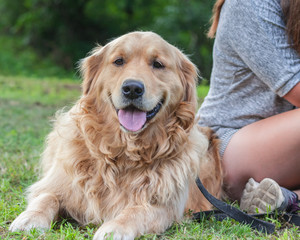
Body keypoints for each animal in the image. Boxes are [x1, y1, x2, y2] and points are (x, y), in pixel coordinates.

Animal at [9, 31, 223, 238]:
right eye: (119, 61)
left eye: (158, 64)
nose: (132, 88)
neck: (123, 152)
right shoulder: (56, 184)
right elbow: (47, 197)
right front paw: (29, 219)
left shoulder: (165, 207)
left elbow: (136, 211)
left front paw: (114, 229)